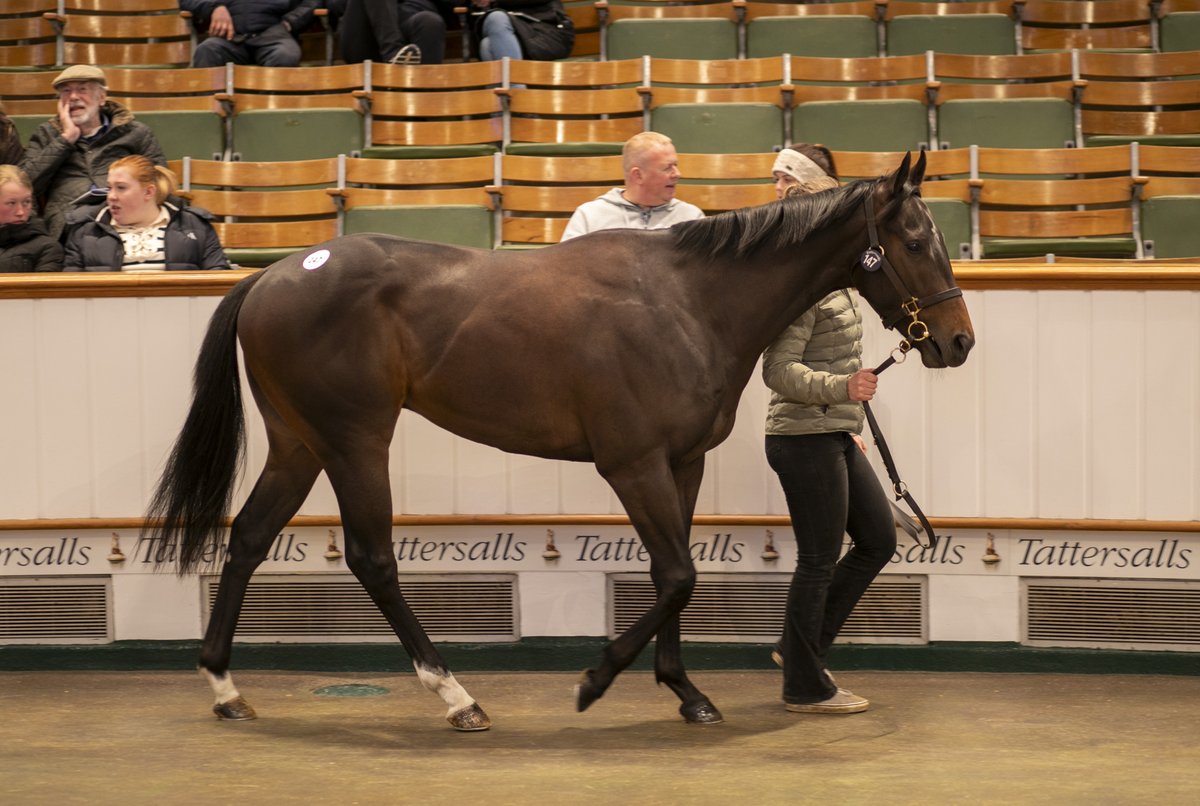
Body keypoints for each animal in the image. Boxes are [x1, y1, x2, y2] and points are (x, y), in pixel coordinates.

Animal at [145, 149, 974, 729]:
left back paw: (225, 687)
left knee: (249, 539)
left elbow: (673, 571)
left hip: (299, 445)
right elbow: (677, 575)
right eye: (912, 239)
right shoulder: (632, 464)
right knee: (371, 558)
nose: (958, 342)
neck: (688, 301)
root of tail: (273, 276)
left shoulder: (680, 463)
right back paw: (456, 697)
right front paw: (594, 681)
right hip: (354, 443)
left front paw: (687, 693)